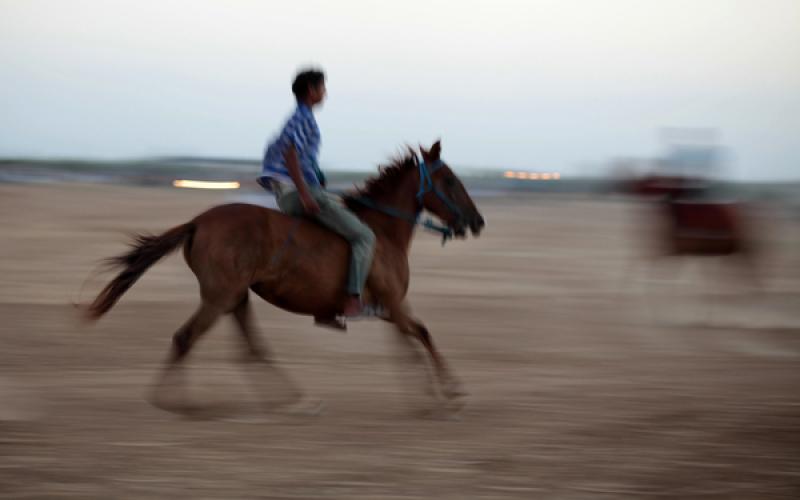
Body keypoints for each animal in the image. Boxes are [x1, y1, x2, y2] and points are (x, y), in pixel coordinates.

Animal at [88, 141, 488, 410]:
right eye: (449, 180)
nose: (477, 221)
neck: (383, 231)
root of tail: (198, 222)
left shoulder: (389, 309)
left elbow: (410, 345)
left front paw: (429, 396)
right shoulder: (394, 303)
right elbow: (422, 335)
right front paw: (451, 393)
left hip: (235, 296)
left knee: (250, 347)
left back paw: (289, 399)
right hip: (219, 297)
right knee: (186, 338)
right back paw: (177, 401)